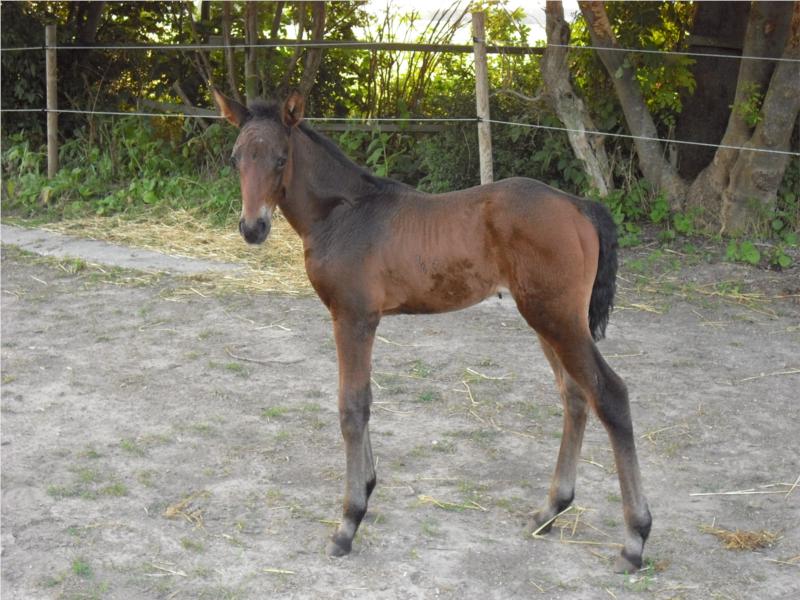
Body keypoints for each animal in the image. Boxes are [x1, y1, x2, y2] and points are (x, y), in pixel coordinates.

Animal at [214, 90, 648, 572]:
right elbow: (365, 401)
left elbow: (351, 407)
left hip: (558, 320)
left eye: (280, 158)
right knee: (574, 397)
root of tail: (579, 206)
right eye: (236, 158)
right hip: (548, 320)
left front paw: (348, 521)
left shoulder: (353, 317)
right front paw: (366, 488)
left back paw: (634, 539)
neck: (344, 213)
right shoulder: (361, 319)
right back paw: (550, 510)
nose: (253, 228)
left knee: (610, 394)